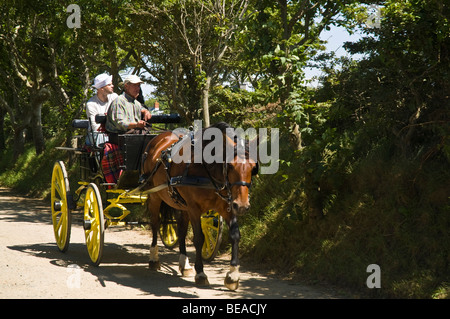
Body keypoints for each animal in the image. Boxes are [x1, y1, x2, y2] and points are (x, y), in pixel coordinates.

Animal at [142, 123, 258, 292]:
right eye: (230, 166)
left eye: (253, 168)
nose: (242, 205)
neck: (207, 170)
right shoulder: (194, 208)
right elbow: (198, 238)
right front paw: (201, 273)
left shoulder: (227, 206)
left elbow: (235, 235)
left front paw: (233, 275)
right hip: (155, 195)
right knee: (155, 223)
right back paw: (153, 259)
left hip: (181, 204)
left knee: (182, 229)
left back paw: (184, 264)